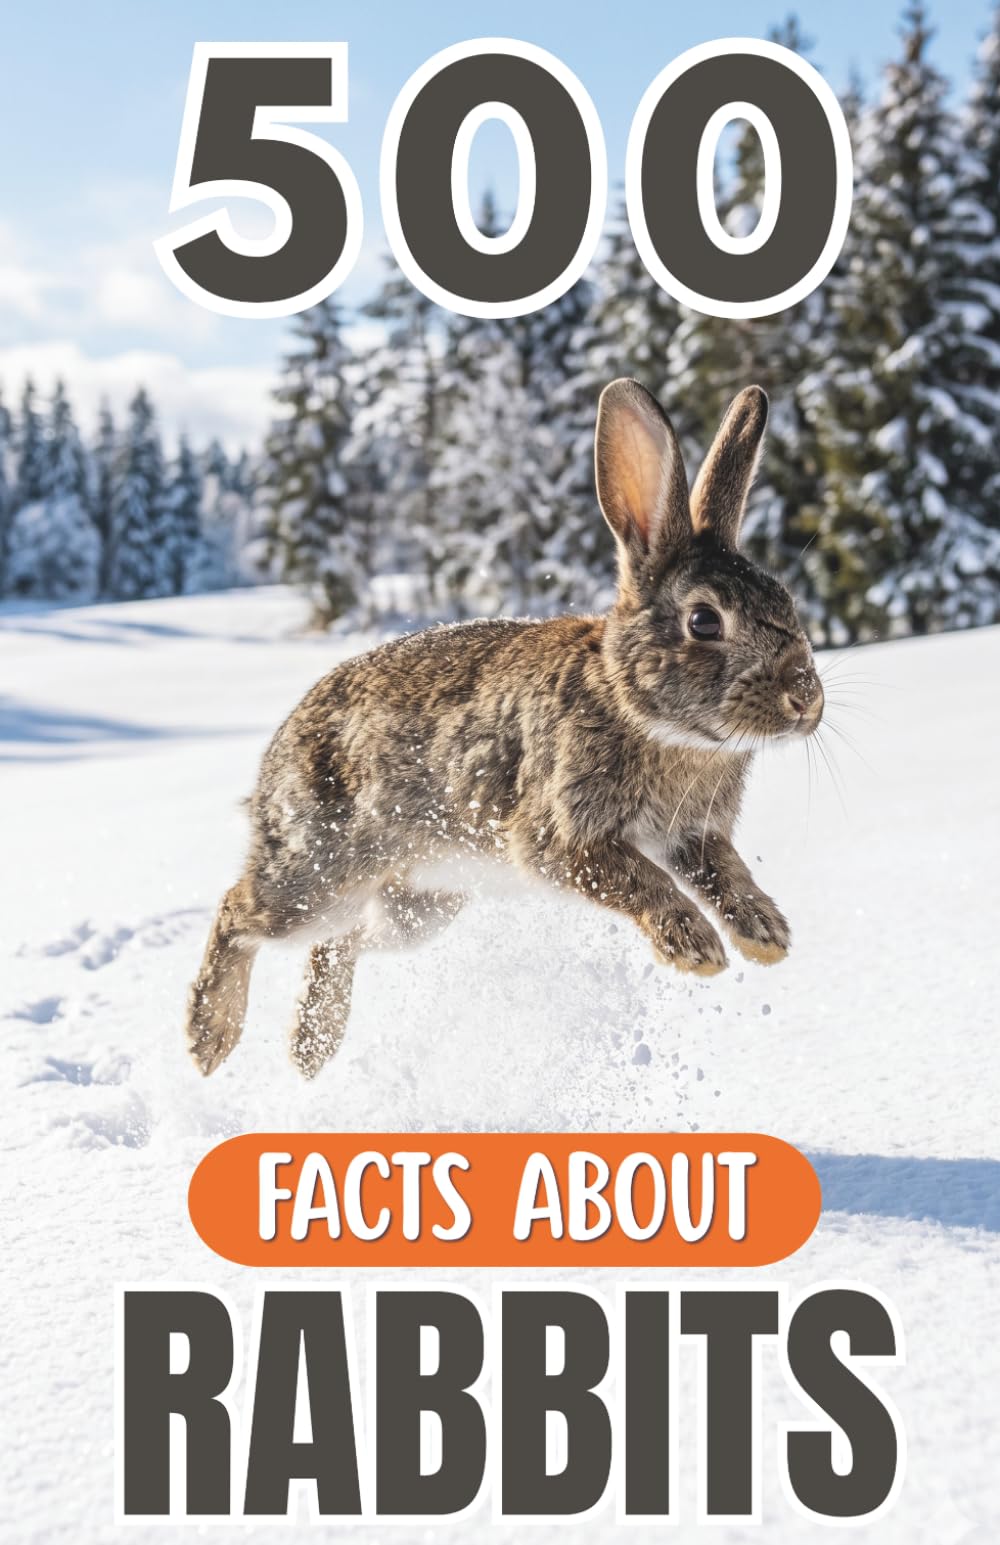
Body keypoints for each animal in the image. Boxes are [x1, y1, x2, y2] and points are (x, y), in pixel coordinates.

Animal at [186, 378, 824, 1079]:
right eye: (705, 621)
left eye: (786, 600)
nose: (805, 697)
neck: (638, 708)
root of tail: (274, 760)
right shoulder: (558, 837)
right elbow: (639, 879)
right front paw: (695, 948)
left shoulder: (696, 835)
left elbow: (726, 875)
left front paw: (766, 937)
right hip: (318, 875)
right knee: (237, 911)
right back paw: (209, 1040)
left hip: (420, 907)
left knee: (342, 942)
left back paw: (311, 1047)